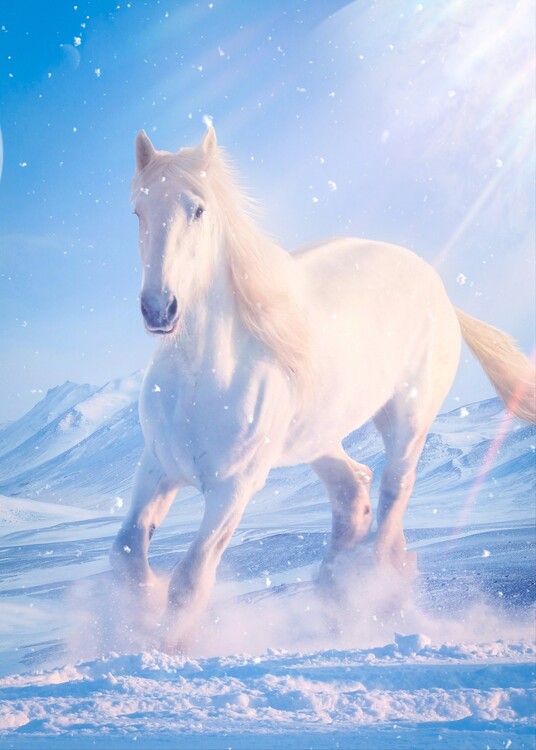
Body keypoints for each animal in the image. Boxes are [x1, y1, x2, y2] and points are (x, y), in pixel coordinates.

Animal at [110, 125, 536, 651]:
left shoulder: (234, 488)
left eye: (198, 209)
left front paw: (167, 648)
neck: (199, 378)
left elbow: (190, 580)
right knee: (354, 491)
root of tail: (439, 288)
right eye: (138, 211)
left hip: (407, 420)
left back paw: (376, 596)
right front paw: (135, 621)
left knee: (393, 491)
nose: (159, 308)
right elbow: (127, 553)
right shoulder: (157, 467)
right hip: (316, 437)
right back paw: (333, 598)